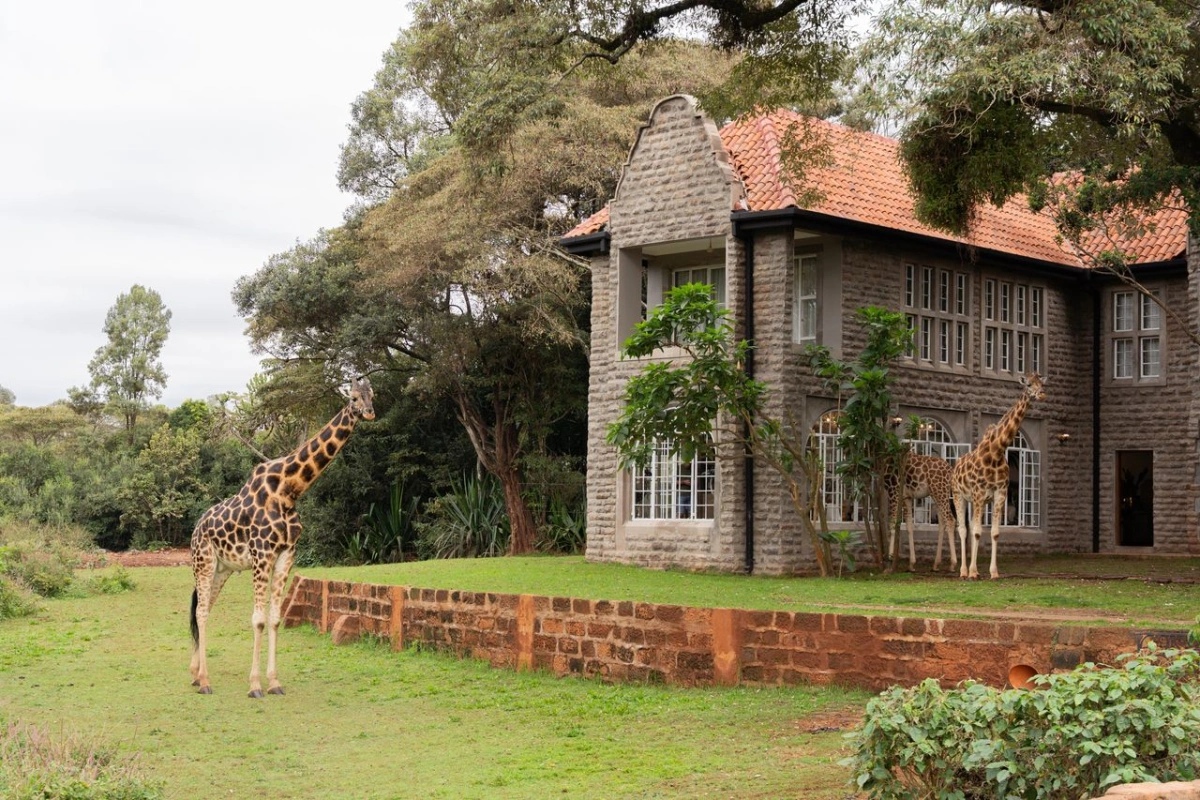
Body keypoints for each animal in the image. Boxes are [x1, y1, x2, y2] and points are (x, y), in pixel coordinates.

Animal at [189, 376, 375, 697]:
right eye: (353, 397)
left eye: (372, 395)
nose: (369, 413)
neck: (289, 490)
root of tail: (196, 529)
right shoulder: (262, 553)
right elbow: (258, 619)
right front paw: (254, 686)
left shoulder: (286, 554)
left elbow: (275, 619)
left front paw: (274, 682)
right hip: (204, 562)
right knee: (200, 612)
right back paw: (205, 681)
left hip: (222, 569)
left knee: (206, 607)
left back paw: (196, 674)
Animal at [951, 372, 1045, 580]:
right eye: (1028, 384)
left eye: (1042, 383)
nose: (1042, 394)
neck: (997, 450)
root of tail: (955, 467)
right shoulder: (978, 492)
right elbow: (977, 531)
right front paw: (973, 572)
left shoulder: (999, 493)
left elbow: (993, 532)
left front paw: (993, 572)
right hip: (959, 495)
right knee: (962, 529)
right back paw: (963, 571)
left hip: (976, 500)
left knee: (971, 526)